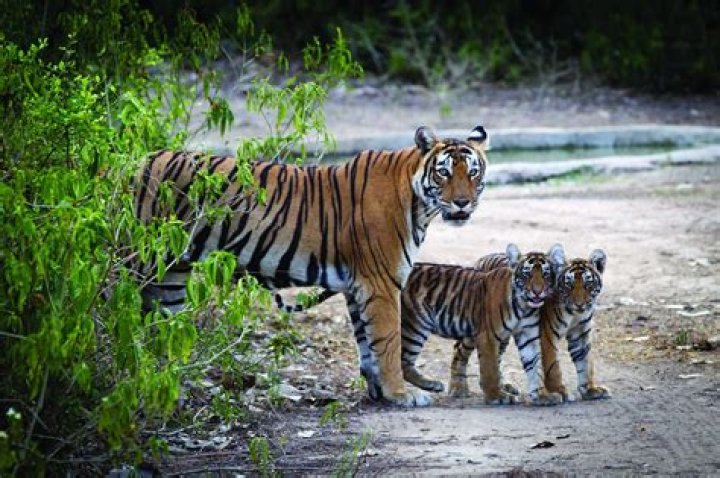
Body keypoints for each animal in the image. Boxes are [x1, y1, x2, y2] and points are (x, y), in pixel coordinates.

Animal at [133, 125, 489, 407]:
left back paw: (167, 394)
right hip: (139, 262)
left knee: (161, 334)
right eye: (444, 172)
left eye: (473, 172)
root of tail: (133, 162)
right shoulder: (381, 283)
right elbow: (388, 341)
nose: (462, 203)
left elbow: (367, 344)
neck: (420, 207)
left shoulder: (357, 287)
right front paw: (401, 394)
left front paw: (379, 393)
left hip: (170, 278)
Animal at [400, 244, 565, 406]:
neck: (525, 307)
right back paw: (434, 385)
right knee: (404, 362)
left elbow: (535, 366)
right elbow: (490, 368)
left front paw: (543, 395)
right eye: (526, 274)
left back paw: (444, 386)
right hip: (416, 326)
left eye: (545, 274)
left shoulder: (528, 337)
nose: (537, 292)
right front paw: (496, 396)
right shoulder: (489, 336)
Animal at [469, 244, 610, 401]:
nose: (579, 304)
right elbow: (552, 365)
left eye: (588, 284)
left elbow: (585, 363)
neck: (575, 314)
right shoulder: (547, 334)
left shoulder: (581, 334)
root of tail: (483, 258)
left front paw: (590, 389)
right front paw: (558, 390)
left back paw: (505, 386)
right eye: (569, 284)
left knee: (497, 357)